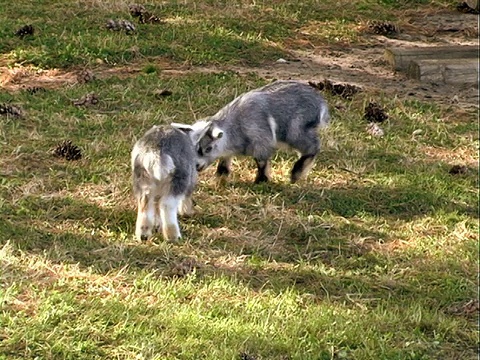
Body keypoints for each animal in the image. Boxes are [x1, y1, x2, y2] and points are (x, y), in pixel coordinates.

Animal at [176, 80, 330, 184]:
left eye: (208, 148)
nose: (196, 166)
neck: (237, 125)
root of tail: (321, 104)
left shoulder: (261, 140)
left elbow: (261, 161)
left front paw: (261, 180)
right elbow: (225, 158)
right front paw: (221, 175)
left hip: (295, 130)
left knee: (313, 146)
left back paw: (296, 173)